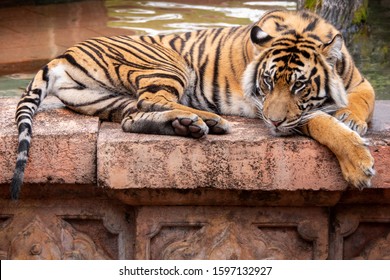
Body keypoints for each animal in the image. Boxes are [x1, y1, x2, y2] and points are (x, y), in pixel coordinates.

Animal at [9, 9, 374, 199]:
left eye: (299, 85)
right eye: (268, 82)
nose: (273, 123)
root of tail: (62, 54)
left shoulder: (360, 82)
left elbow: (363, 100)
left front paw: (352, 119)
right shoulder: (264, 106)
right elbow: (317, 119)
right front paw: (358, 163)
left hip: (106, 99)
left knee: (134, 116)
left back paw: (190, 124)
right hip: (167, 63)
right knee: (153, 98)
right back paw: (209, 119)